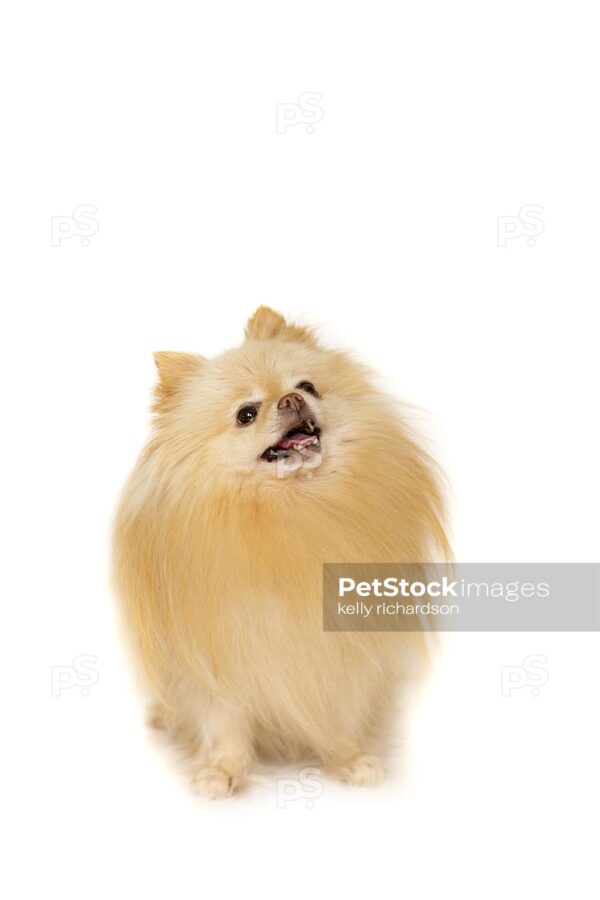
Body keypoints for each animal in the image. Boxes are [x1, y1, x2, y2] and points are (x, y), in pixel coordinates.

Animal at [113, 308, 450, 796]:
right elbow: (223, 722)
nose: (291, 400)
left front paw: (348, 758)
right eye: (245, 414)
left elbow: (337, 711)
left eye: (307, 386)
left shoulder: (341, 649)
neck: (292, 507)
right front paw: (223, 771)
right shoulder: (217, 653)